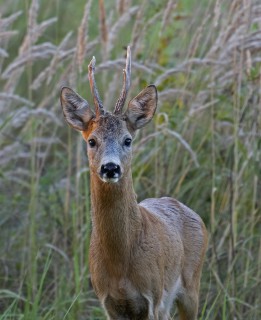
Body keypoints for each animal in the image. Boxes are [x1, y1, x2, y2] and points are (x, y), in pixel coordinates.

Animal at [59, 46, 207, 318]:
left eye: (127, 140)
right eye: (91, 141)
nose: (110, 167)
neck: (120, 264)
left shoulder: (153, 296)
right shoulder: (107, 301)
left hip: (191, 283)